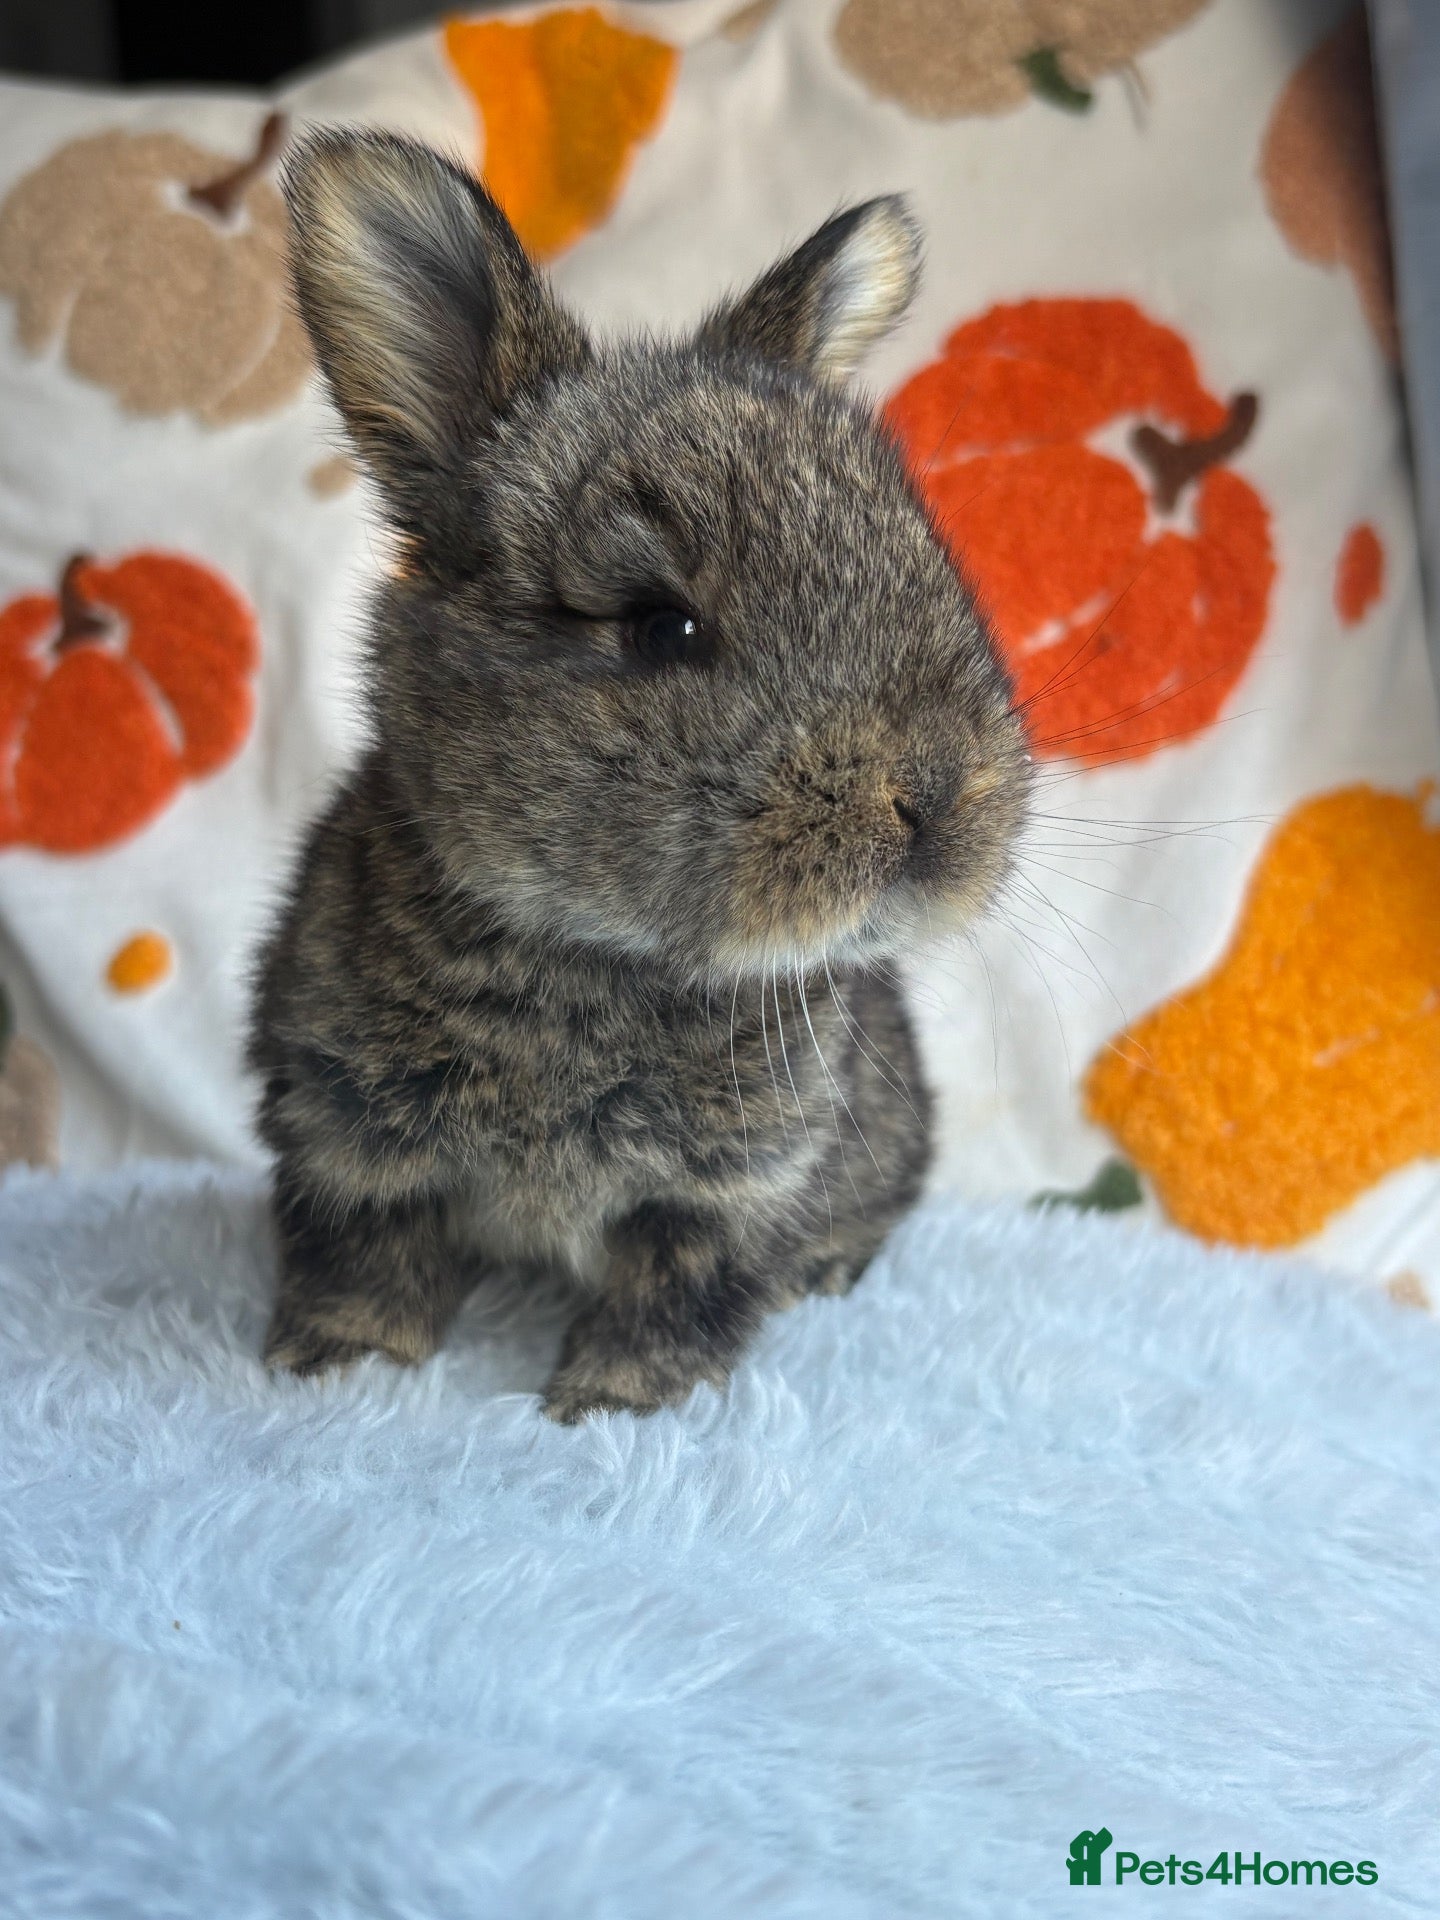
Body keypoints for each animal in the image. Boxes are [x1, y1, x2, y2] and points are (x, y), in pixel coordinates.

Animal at [248, 129, 1030, 1421]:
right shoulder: (347, 1140)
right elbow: (366, 1261)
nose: (935, 801)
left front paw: (609, 1408)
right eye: (661, 625)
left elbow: (677, 1295)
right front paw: (336, 1373)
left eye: (935, 567)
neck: (595, 953)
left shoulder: (729, 1193)